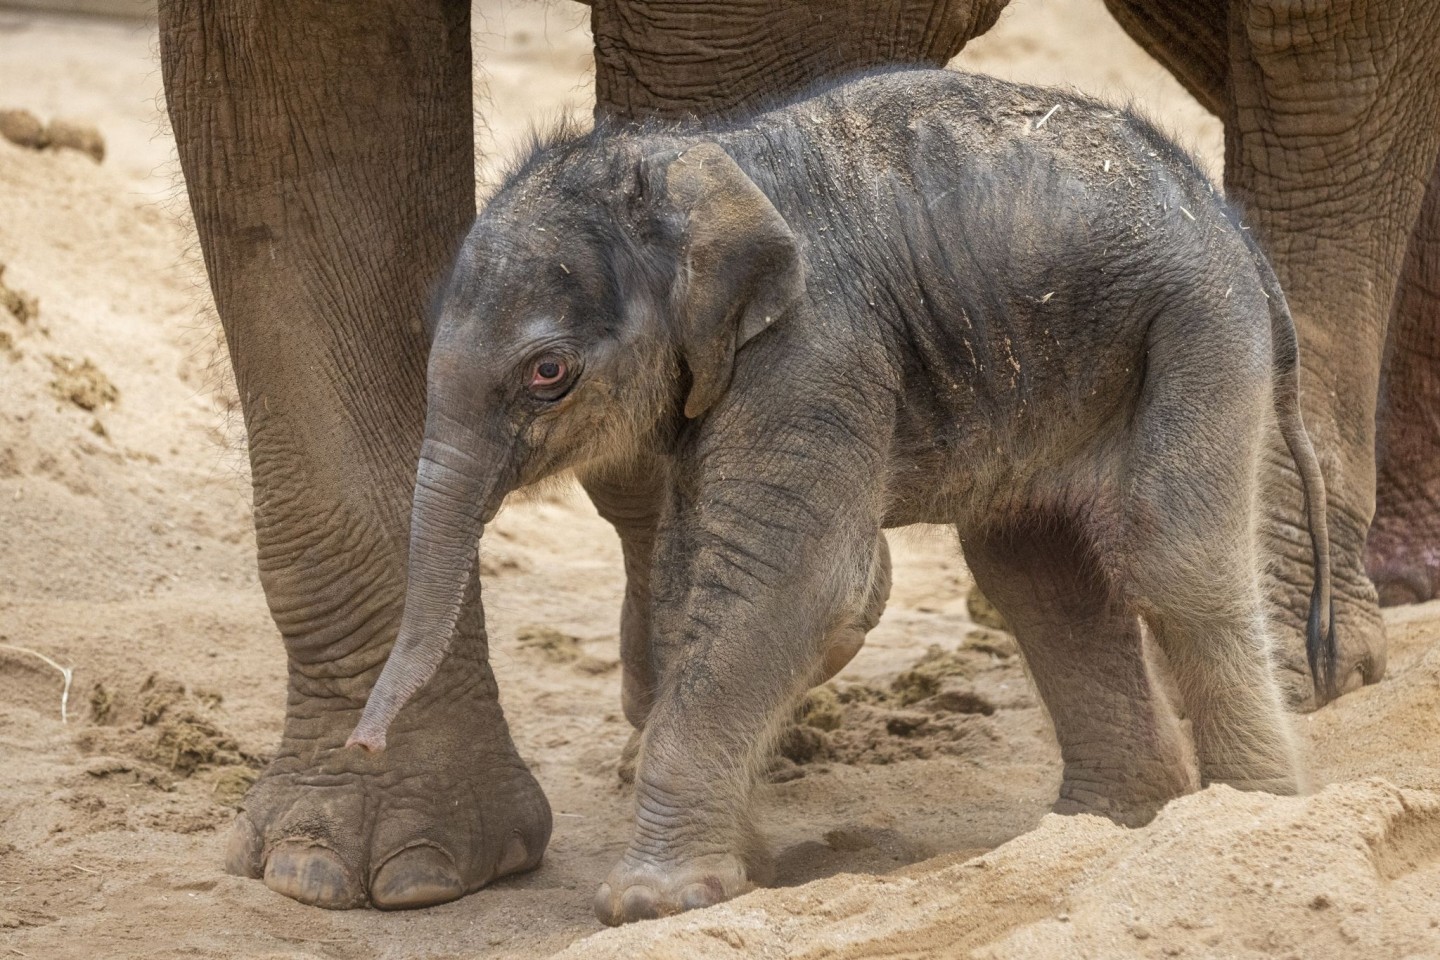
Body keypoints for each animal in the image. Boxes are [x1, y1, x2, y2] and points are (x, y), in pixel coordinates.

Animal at [160, 0, 1440, 915]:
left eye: (547, 374)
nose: (366, 735)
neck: (703, 168)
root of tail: (1221, 217)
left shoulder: (815, 352)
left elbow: (794, 582)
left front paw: (653, 900)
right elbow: (700, 579)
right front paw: (743, 864)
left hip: (1200, 330)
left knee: (1169, 555)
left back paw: (1244, 821)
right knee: (1036, 569)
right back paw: (1100, 829)